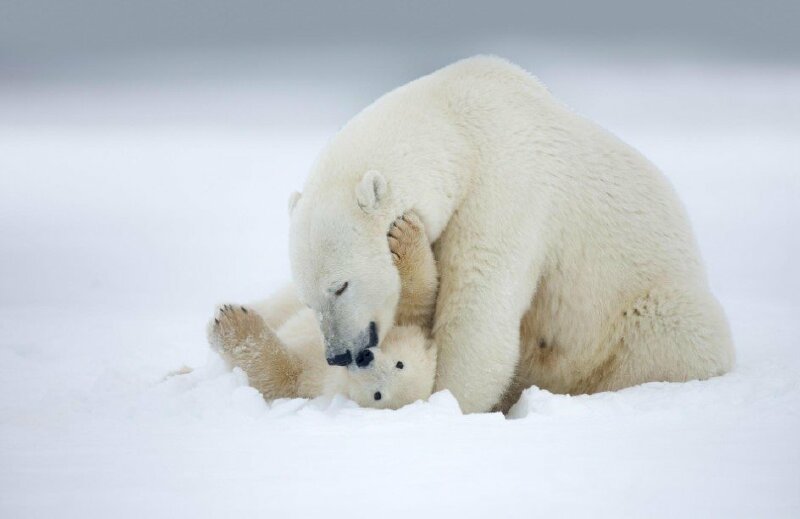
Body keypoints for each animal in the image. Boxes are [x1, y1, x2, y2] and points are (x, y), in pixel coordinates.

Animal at [209, 212, 438, 410]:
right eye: (400, 364)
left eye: (378, 395)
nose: (364, 358)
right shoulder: (401, 318)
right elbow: (416, 298)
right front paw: (403, 233)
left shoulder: (312, 381)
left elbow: (280, 375)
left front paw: (232, 323)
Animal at [284, 54, 736, 414]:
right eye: (309, 298)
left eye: (340, 285)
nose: (339, 355)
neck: (458, 127)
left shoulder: (505, 188)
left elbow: (478, 308)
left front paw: (444, 401)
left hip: (645, 310)